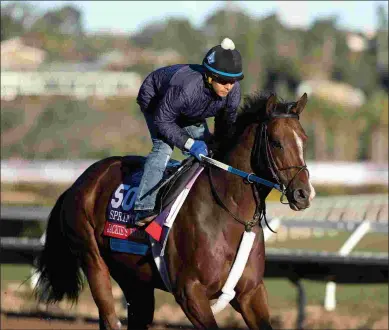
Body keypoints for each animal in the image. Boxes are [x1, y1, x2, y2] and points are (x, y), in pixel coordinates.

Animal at [34, 91, 316, 330]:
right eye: (277, 142)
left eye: (304, 140)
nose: (304, 193)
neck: (229, 214)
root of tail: (78, 182)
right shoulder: (189, 293)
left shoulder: (251, 293)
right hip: (93, 260)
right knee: (109, 317)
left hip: (134, 278)